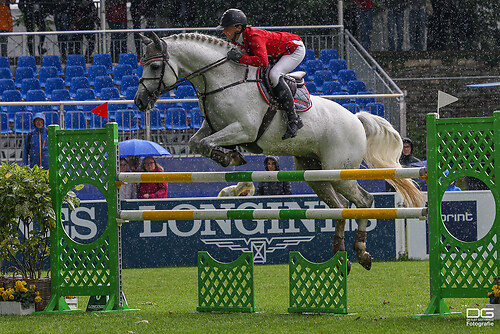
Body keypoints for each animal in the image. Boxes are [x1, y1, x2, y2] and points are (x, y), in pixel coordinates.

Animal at [133, 32, 422, 272]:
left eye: (155, 66)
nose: (139, 101)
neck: (222, 80)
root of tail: (356, 119)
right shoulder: (210, 128)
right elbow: (197, 143)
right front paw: (230, 155)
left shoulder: (244, 129)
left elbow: (208, 144)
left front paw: (230, 156)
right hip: (315, 173)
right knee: (339, 207)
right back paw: (341, 257)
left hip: (339, 171)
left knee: (364, 201)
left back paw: (362, 253)